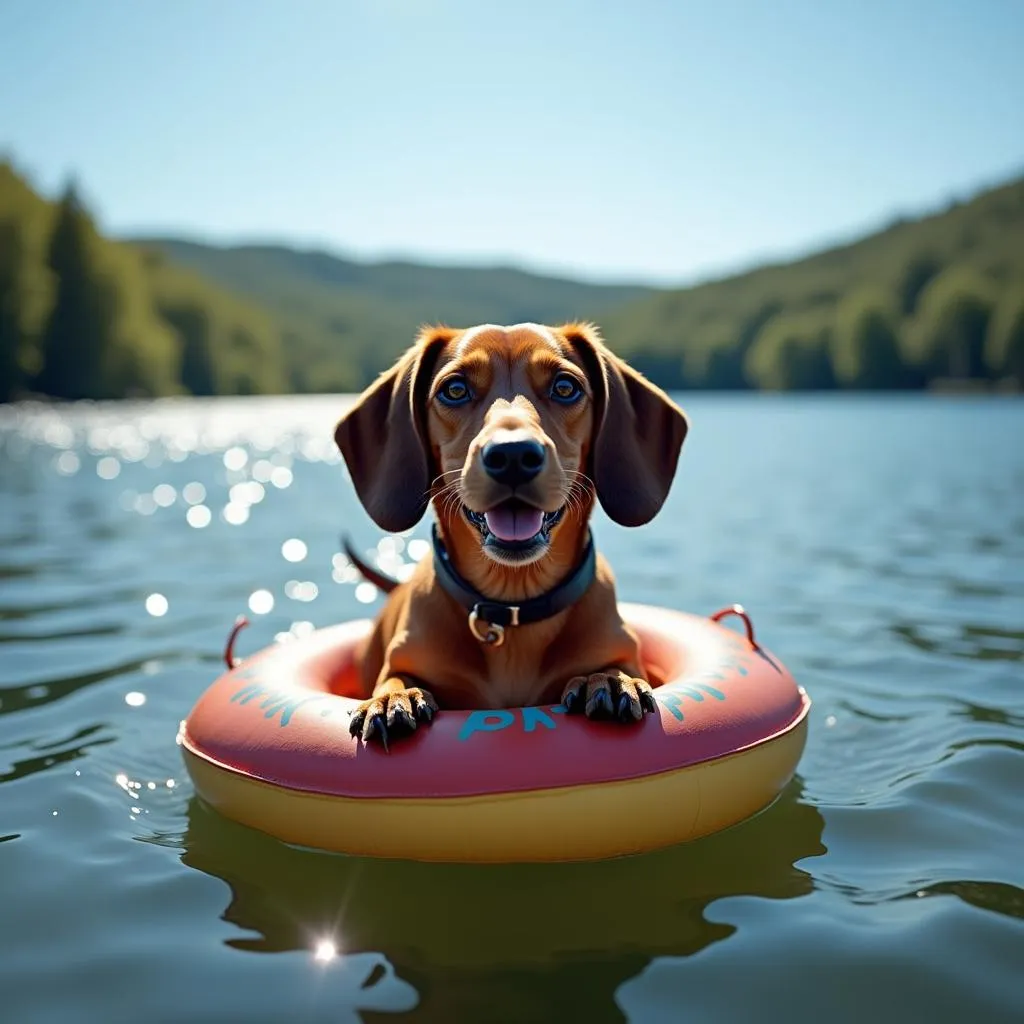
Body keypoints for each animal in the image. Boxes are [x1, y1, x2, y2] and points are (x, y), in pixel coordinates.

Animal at [335, 319, 688, 745]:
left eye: (565, 387)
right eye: (455, 389)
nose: (513, 455)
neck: (513, 605)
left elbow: (617, 668)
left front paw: (607, 679)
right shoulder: (402, 661)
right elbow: (394, 679)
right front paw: (392, 698)